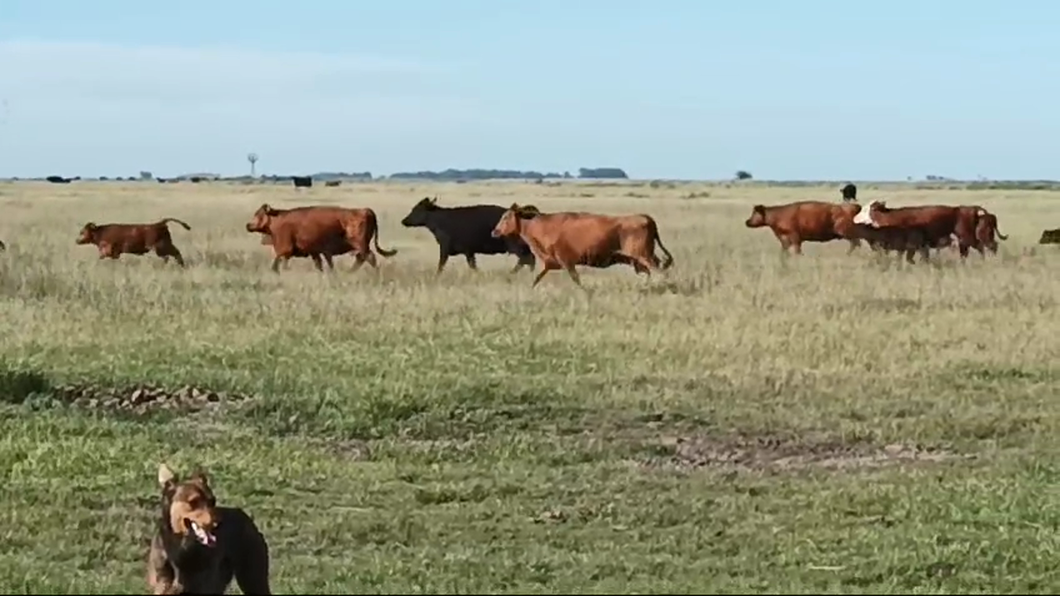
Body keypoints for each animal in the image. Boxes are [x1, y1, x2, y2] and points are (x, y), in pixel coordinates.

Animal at [243, 201, 398, 271]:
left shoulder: (285, 249)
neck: (278, 218)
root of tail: (365, 210)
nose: (248, 225)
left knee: (369, 257)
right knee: (361, 258)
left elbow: (278, 262)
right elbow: (319, 265)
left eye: (258, 214)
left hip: (361, 245)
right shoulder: (315, 252)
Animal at [398, 196, 538, 273]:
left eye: (416, 209)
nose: (404, 221)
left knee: (526, 259)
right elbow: (473, 266)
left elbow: (441, 265)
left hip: (515, 246)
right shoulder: (469, 251)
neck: (441, 220)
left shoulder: (446, 248)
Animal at [489, 202, 674, 288]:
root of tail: (647, 218)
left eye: (506, 217)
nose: (494, 231)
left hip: (644, 256)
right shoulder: (551, 263)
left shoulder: (567, 262)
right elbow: (537, 279)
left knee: (661, 272)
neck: (542, 226)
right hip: (640, 259)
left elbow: (576, 280)